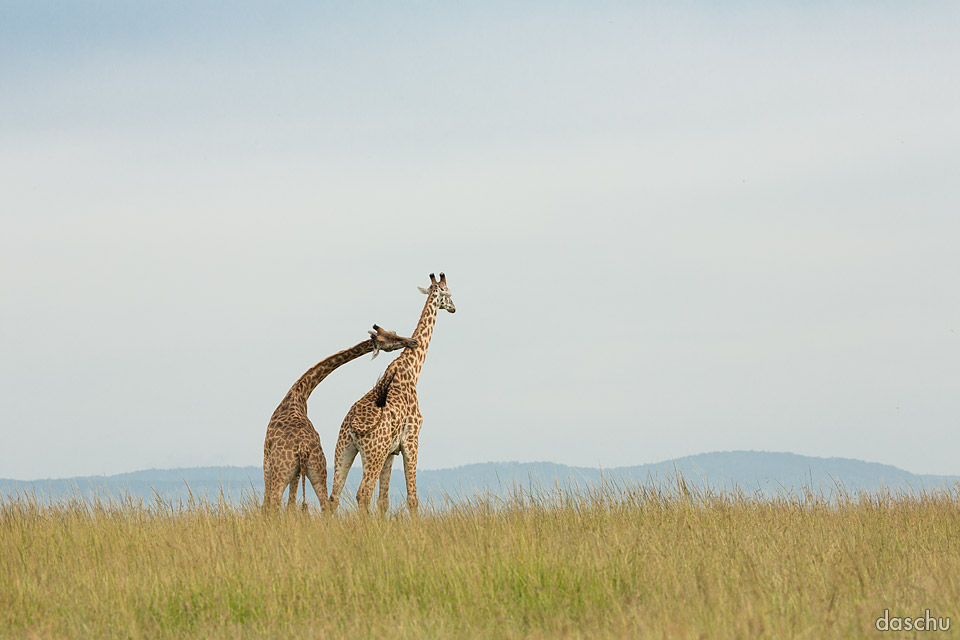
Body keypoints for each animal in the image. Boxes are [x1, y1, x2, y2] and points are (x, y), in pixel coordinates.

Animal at [262, 324, 416, 510]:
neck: (298, 394)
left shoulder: (266, 456)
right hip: (314, 469)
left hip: (289, 469)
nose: (412, 341)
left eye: (393, 333)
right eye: (389, 338)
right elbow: (290, 503)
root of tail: (303, 449)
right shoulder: (290, 468)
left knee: (274, 502)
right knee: (323, 502)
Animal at [330, 272, 458, 516]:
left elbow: (384, 501)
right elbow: (412, 498)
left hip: (344, 449)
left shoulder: (391, 451)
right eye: (448, 292)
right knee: (362, 494)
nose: (454, 308)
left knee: (333, 496)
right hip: (374, 453)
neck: (412, 369)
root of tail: (352, 426)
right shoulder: (412, 439)